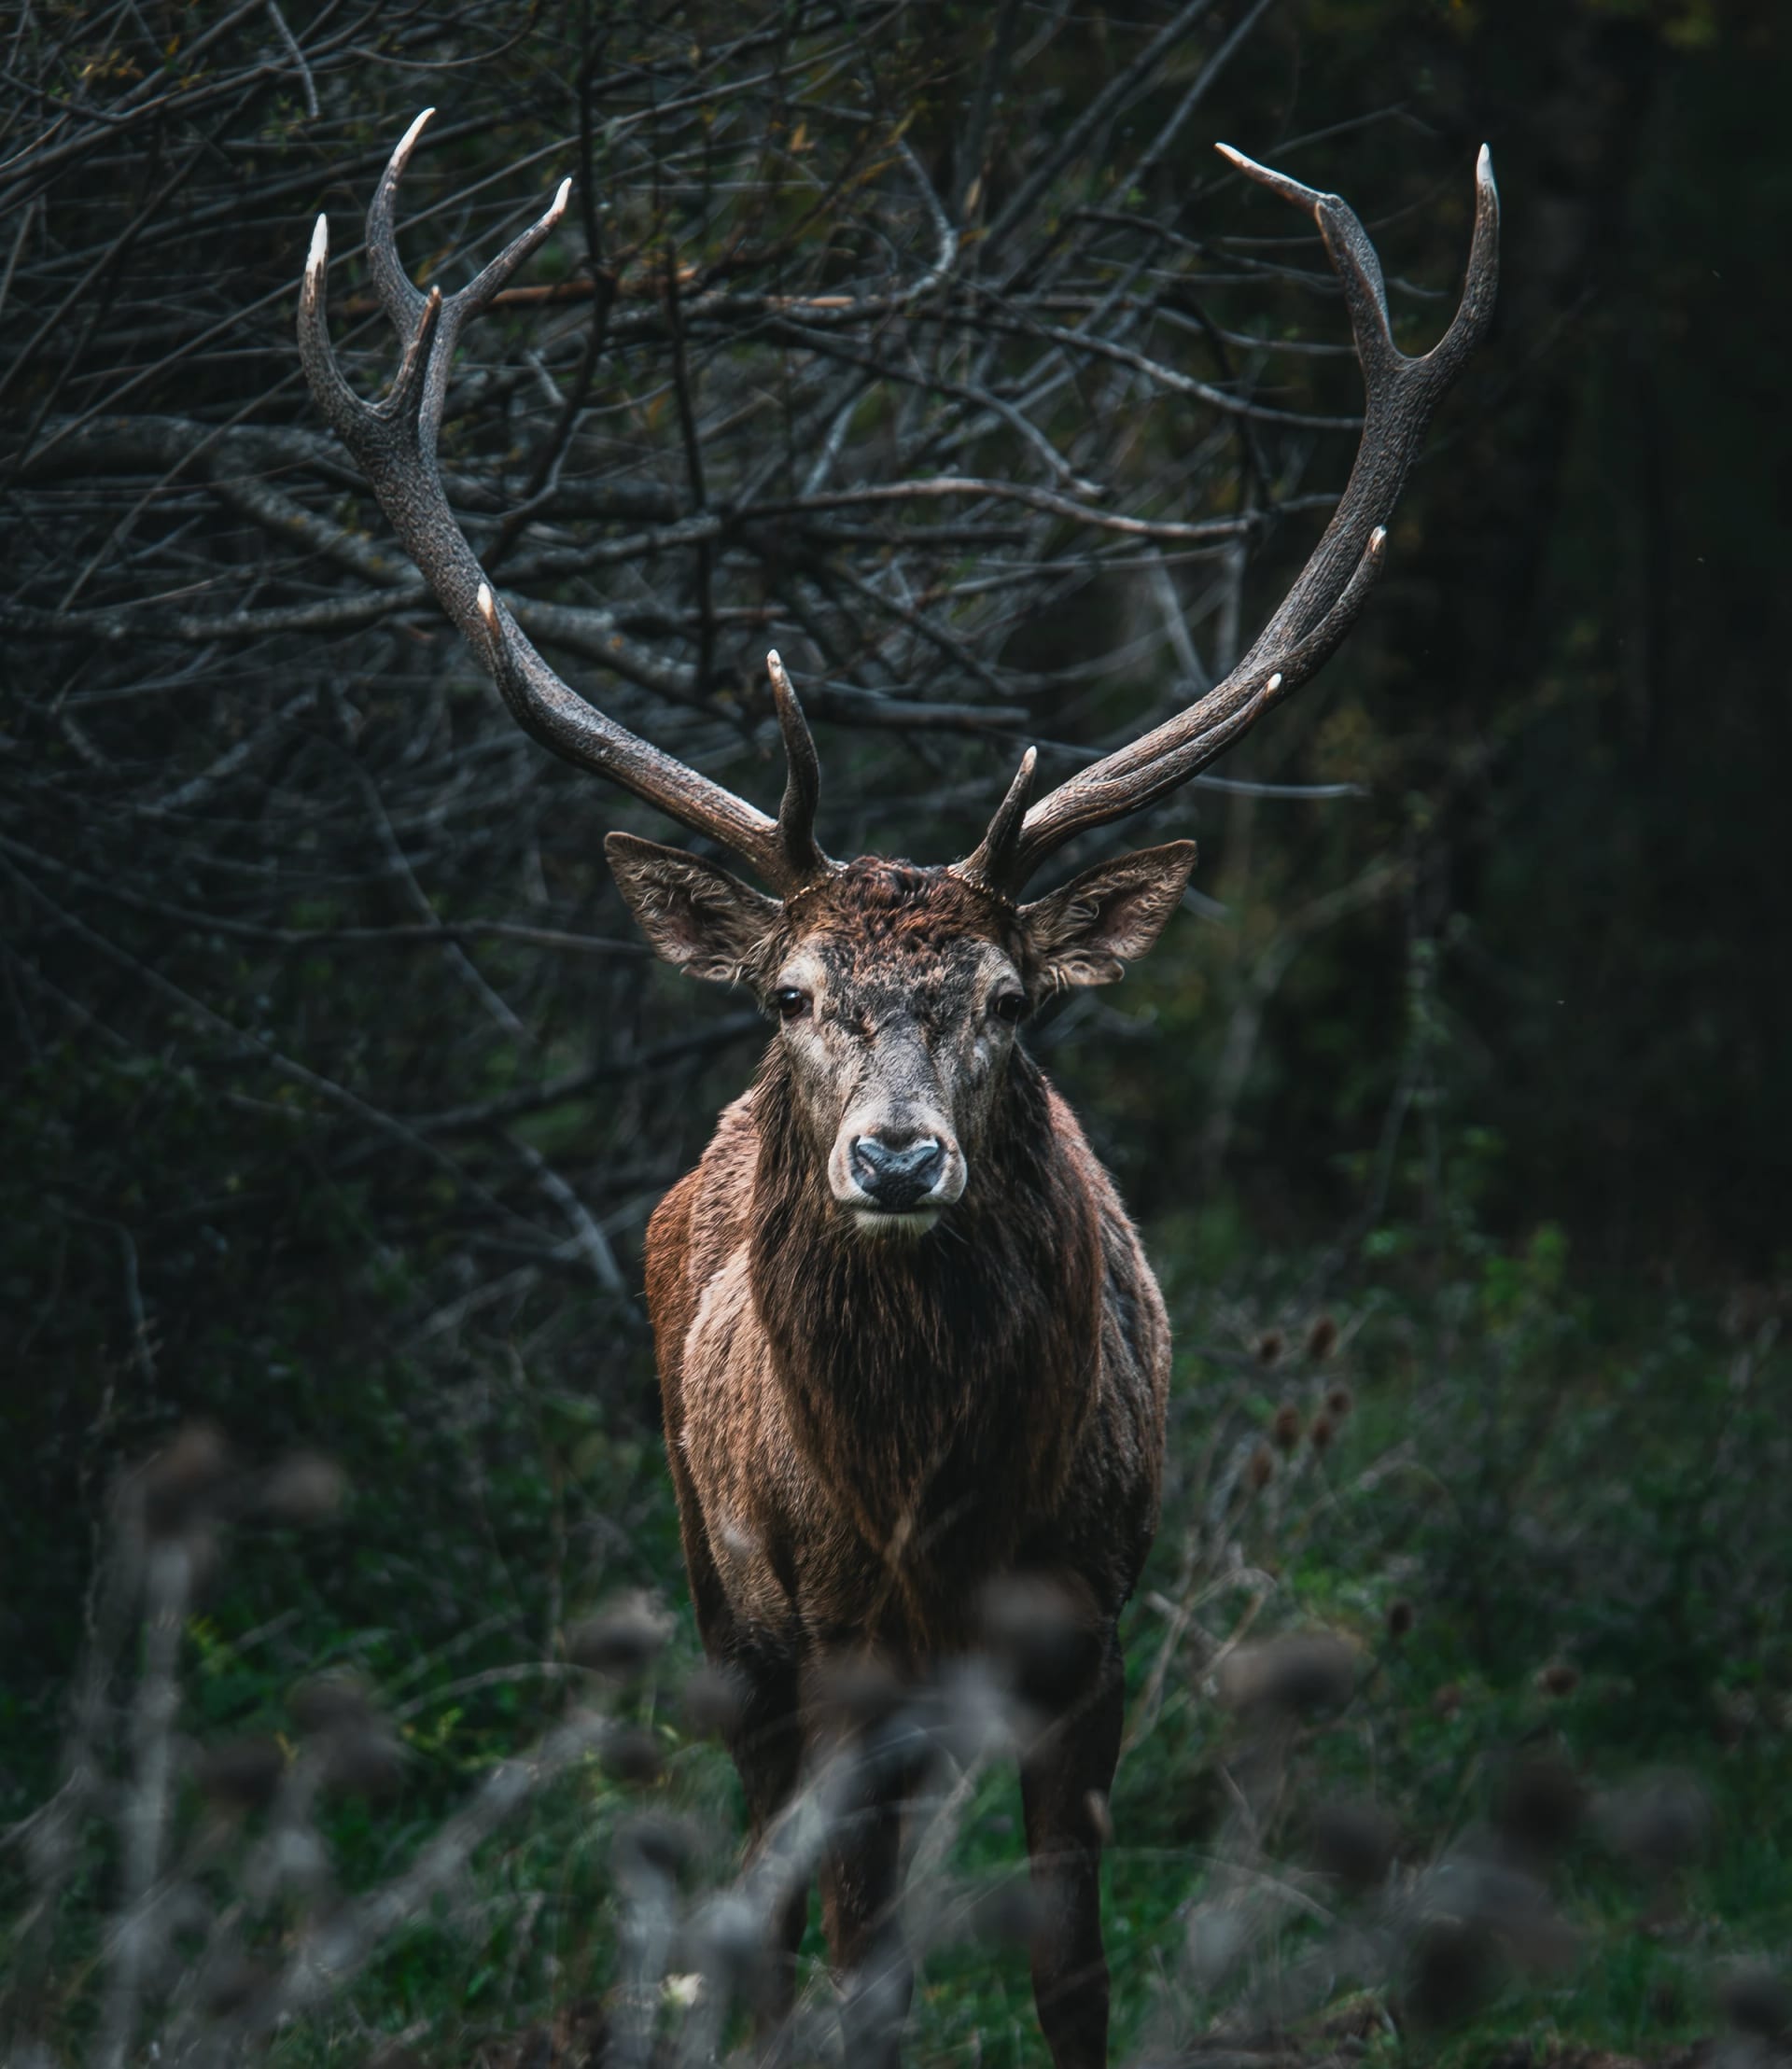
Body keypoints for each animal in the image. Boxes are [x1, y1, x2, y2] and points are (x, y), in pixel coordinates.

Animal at [298, 110, 1497, 2069]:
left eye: (1010, 997)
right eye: (792, 994)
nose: (899, 1155)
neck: (939, 1514)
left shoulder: (1091, 1630)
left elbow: (1068, 1959)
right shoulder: (832, 1638)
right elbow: (858, 1959)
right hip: (726, 1609)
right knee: (778, 1906)